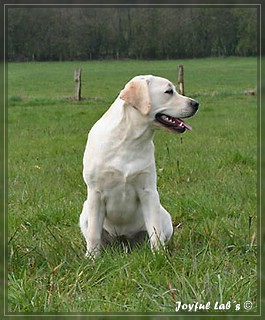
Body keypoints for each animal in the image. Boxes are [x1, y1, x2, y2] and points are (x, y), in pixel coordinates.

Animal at [80, 75, 198, 258]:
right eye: (168, 91)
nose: (196, 104)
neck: (129, 140)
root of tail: (123, 241)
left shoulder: (148, 191)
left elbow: (155, 230)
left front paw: (159, 255)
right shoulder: (95, 193)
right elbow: (93, 234)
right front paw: (92, 258)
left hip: (164, 215)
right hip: (84, 212)